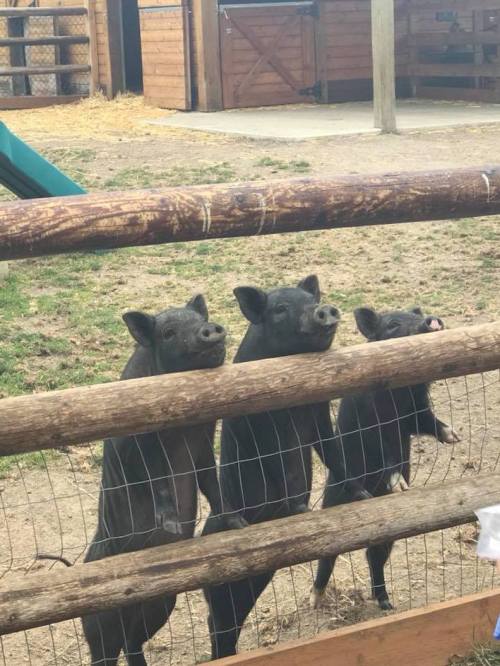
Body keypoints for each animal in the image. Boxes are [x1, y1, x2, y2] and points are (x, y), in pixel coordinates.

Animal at [79, 295, 245, 666]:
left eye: (198, 319)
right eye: (168, 332)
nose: (209, 329)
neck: (182, 429)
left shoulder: (203, 444)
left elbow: (210, 483)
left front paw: (239, 523)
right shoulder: (137, 450)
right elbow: (159, 481)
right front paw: (170, 526)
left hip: (162, 604)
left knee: (133, 642)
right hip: (98, 623)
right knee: (105, 652)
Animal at [201, 276, 369, 660]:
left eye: (311, 299)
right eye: (279, 309)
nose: (323, 310)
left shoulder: (319, 413)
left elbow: (332, 452)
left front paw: (364, 493)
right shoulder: (273, 425)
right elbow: (289, 461)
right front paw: (302, 510)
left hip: (256, 579)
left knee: (225, 622)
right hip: (225, 586)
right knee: (217, 623)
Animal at [310, 307, 460, 612]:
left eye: (415, 313)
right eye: (392, 324)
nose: (431, 320)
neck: (402, 394)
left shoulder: (415, 414)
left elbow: (429, 422)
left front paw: (455, 435)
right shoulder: (375, 425)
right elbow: (386, 451)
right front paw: (400, 484)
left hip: (388, 530)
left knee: (374, 555)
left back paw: (386, 603)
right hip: (334, 499)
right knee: (329, 555)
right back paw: (315, 600)